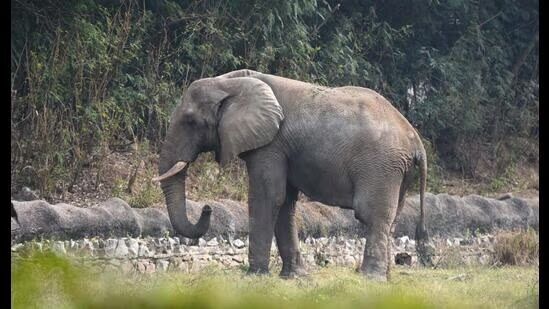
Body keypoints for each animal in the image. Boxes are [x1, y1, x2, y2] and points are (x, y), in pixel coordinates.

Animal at [153, 68, 428, 280]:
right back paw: (385, 278)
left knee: (371, 215)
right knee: (392, 218)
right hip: (397, 170)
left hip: (381, 166)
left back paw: (370, 278)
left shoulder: (271, 144)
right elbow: (285, 202)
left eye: (190, 121)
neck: (231, 81)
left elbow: (268, 197)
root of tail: (416, 140)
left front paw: (255, 276)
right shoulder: (282, 148)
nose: (207, 208)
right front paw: (294, 277)